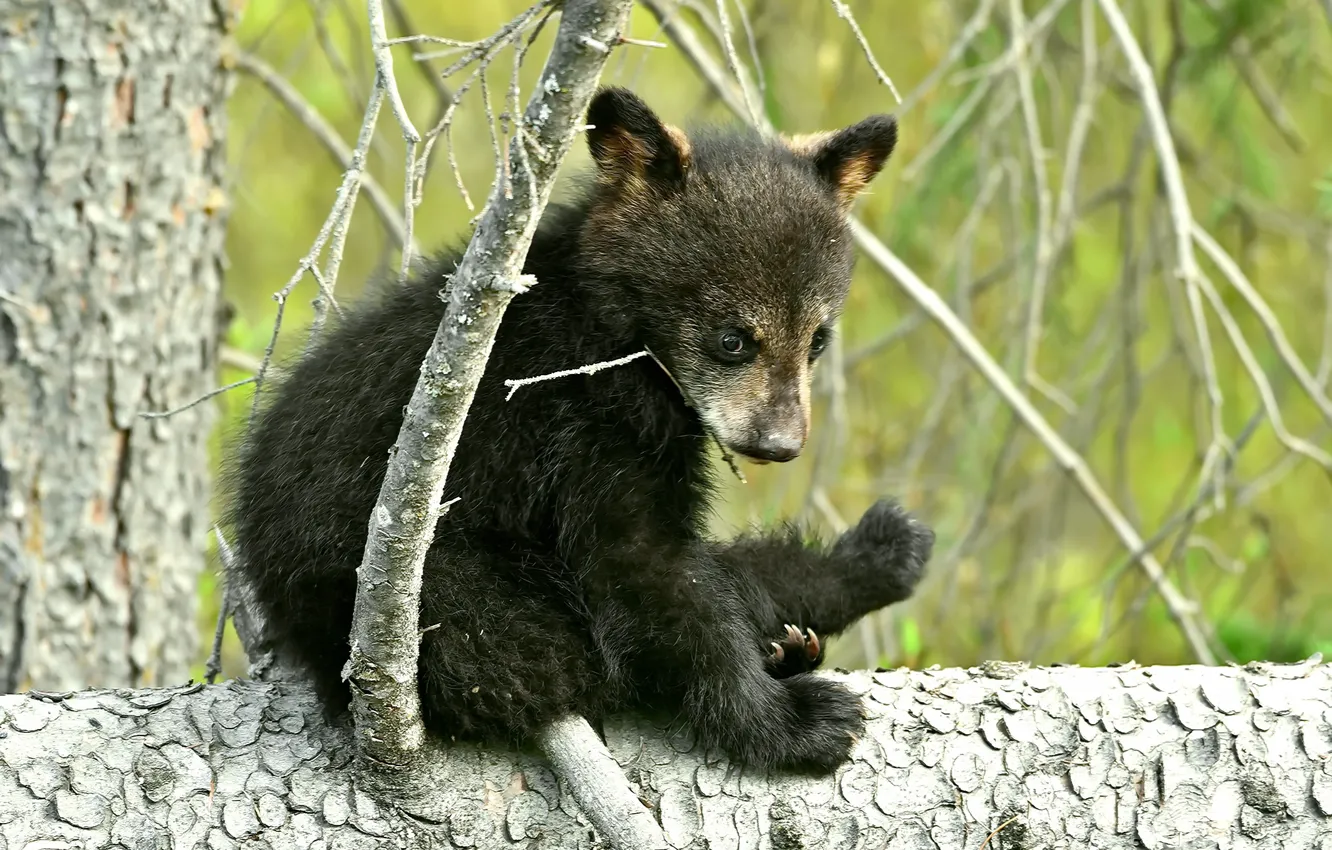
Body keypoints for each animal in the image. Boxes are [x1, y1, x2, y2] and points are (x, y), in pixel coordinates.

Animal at [224, 86, 934, 773]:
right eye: (733, 339)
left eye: (817, 341)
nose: (780, 444)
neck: (619, 334)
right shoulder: (580, 421)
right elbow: (636, 566)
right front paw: (789, 725)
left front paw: (876, 553)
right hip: (439, 593)